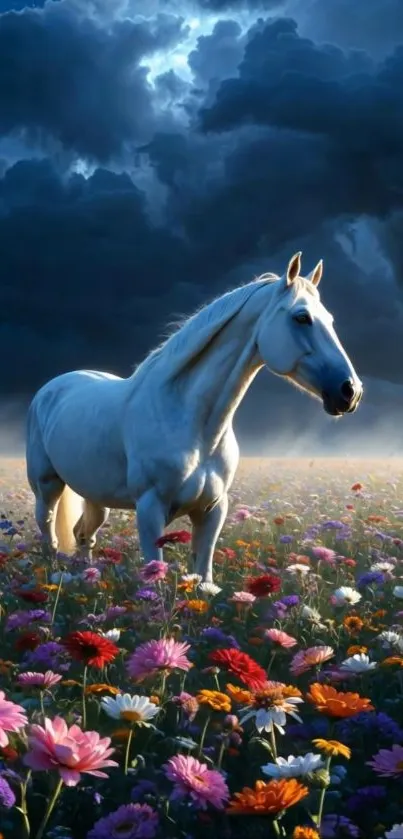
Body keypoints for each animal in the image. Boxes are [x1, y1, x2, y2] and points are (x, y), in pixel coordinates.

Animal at [26, 251, 363, 582]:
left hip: (95, 496)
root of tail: (52, 387)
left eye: (330, 320)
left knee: (83, 535)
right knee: (49, 533)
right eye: (301, 317)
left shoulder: (213, 510)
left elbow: (203, 575)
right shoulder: (150, 510)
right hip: (47, 486)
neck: (193, 424)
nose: (350, 391)